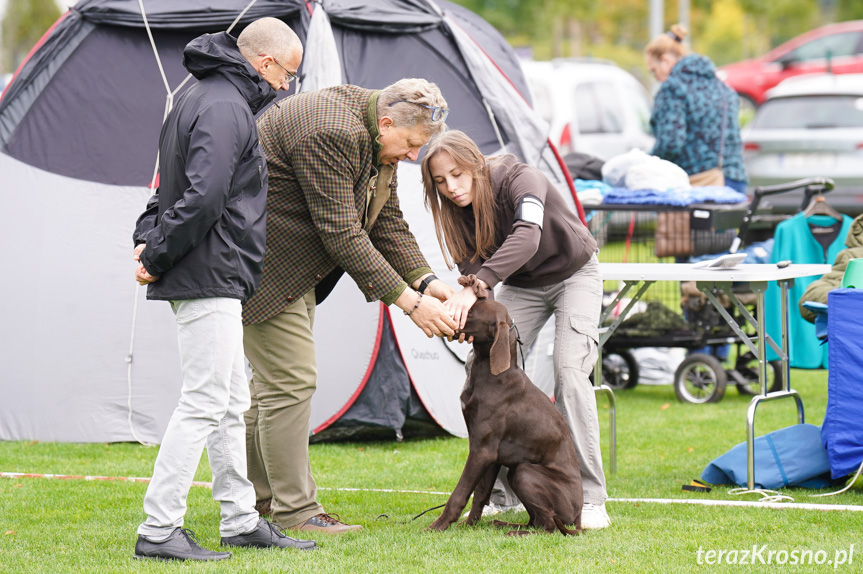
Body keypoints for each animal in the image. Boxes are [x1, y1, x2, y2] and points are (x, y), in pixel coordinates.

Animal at [428, 300, 584, 536]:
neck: (492, 373)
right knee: (537, 520)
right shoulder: (491, 456)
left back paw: (516, 532)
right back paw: (503, 524)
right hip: (516, 473)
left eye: (470, 312)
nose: (439, 307)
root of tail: (578, 515)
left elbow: (460, 494)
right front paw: (470, 525)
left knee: (549, 526)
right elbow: (480, 494)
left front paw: (439, 525)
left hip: (524, 472)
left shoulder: (482, 451)